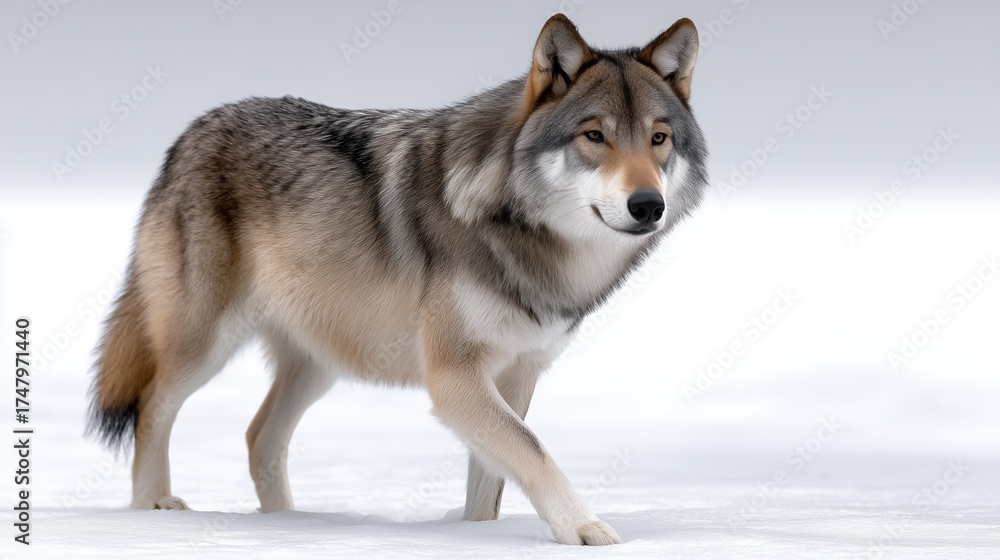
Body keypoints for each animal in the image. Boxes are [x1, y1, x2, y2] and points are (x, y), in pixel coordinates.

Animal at [87, 14, 708, 545]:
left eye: (658, 139)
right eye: (594, 136)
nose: (647, 205)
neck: (528, 236)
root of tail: (190, 131)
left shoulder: (518, 374)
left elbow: (492, 483)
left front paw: (479, 536)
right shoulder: (455, 377)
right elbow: (533, 451)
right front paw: (585, 529)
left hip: (319, 362)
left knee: (258, 436)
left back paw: (288, 525)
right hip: (206, 344)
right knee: (152, 407)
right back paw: (154, 515)